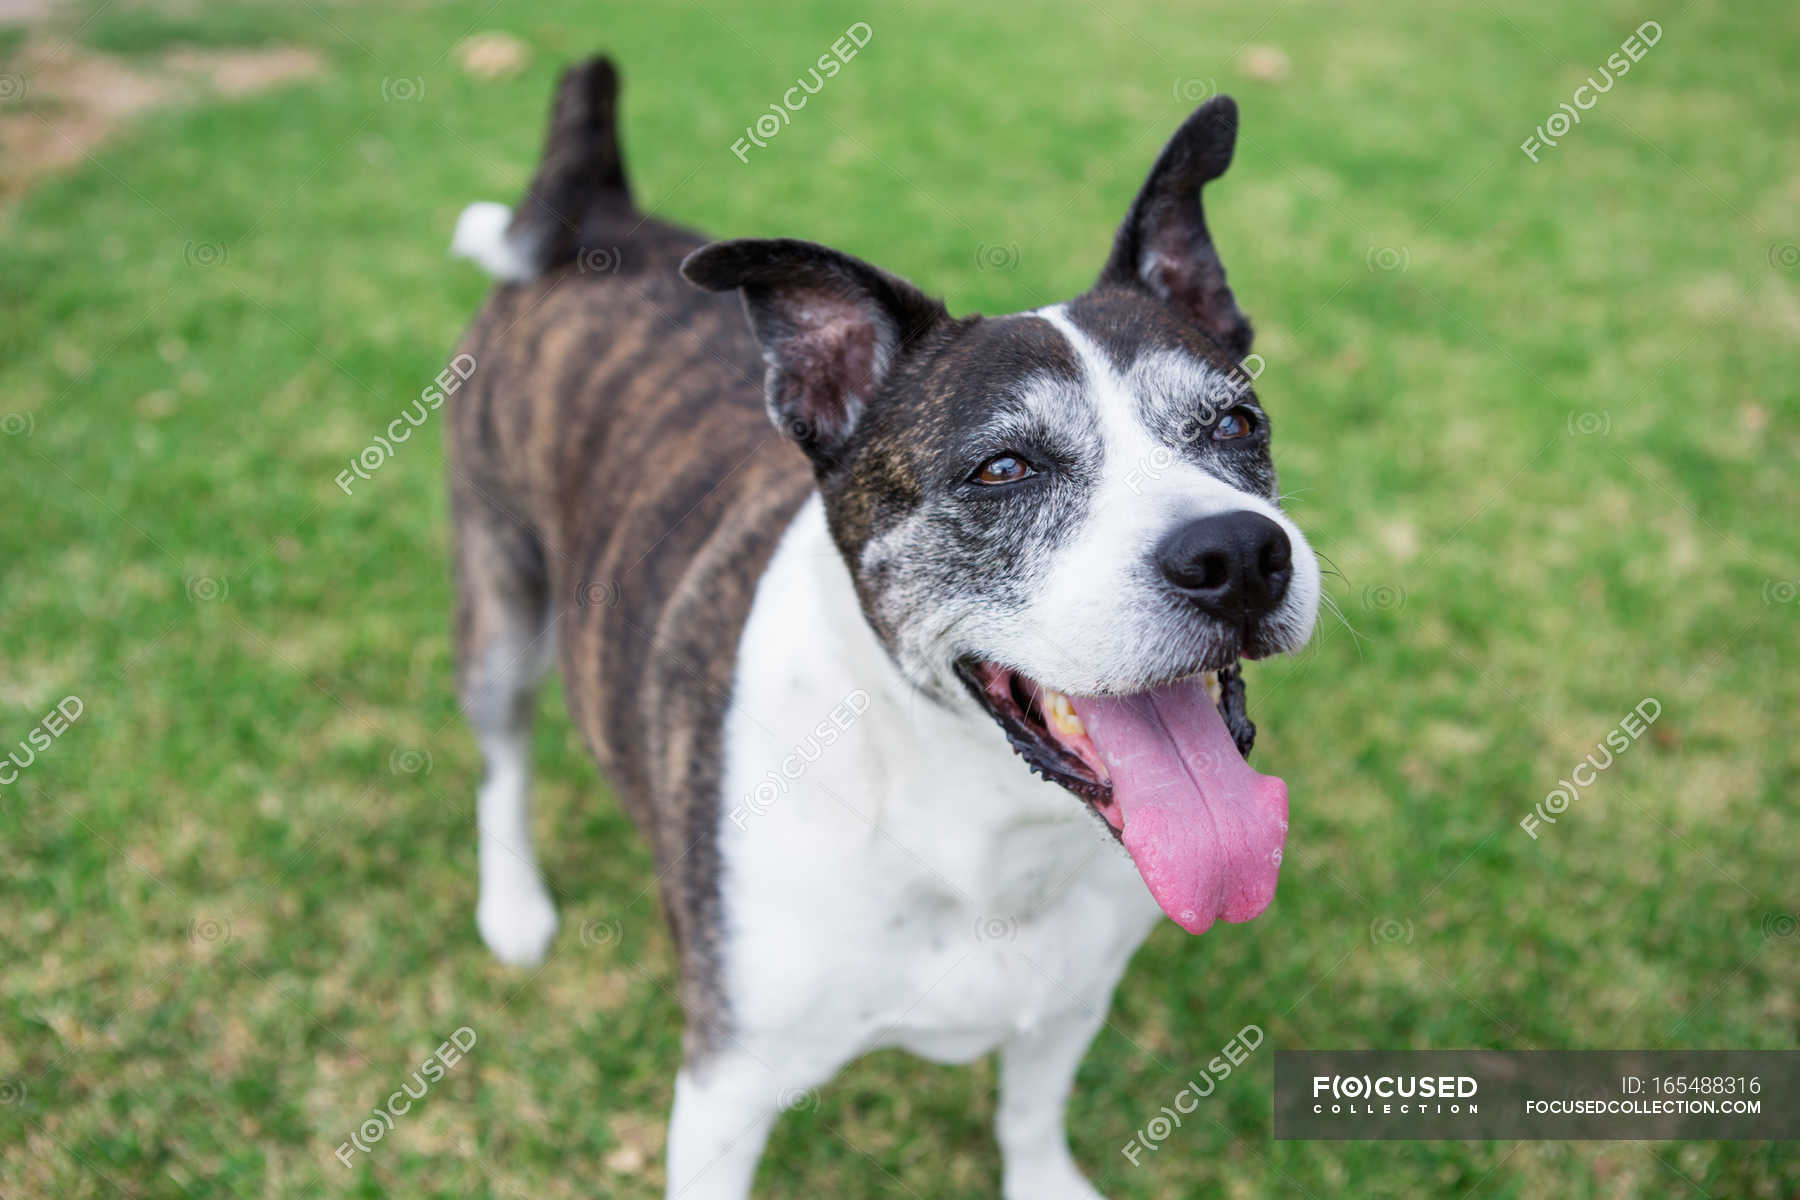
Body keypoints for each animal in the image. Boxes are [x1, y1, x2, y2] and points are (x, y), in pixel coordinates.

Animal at [450, 53, 1324, 1200]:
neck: (980, 820)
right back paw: (513, 908)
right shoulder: (726, 1085)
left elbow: (1029, 1112)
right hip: (501, 603)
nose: (1238, 557)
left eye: (1236, 422)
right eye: (1004, 469)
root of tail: (601, 216)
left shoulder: (1069, 999)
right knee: (501, 757)